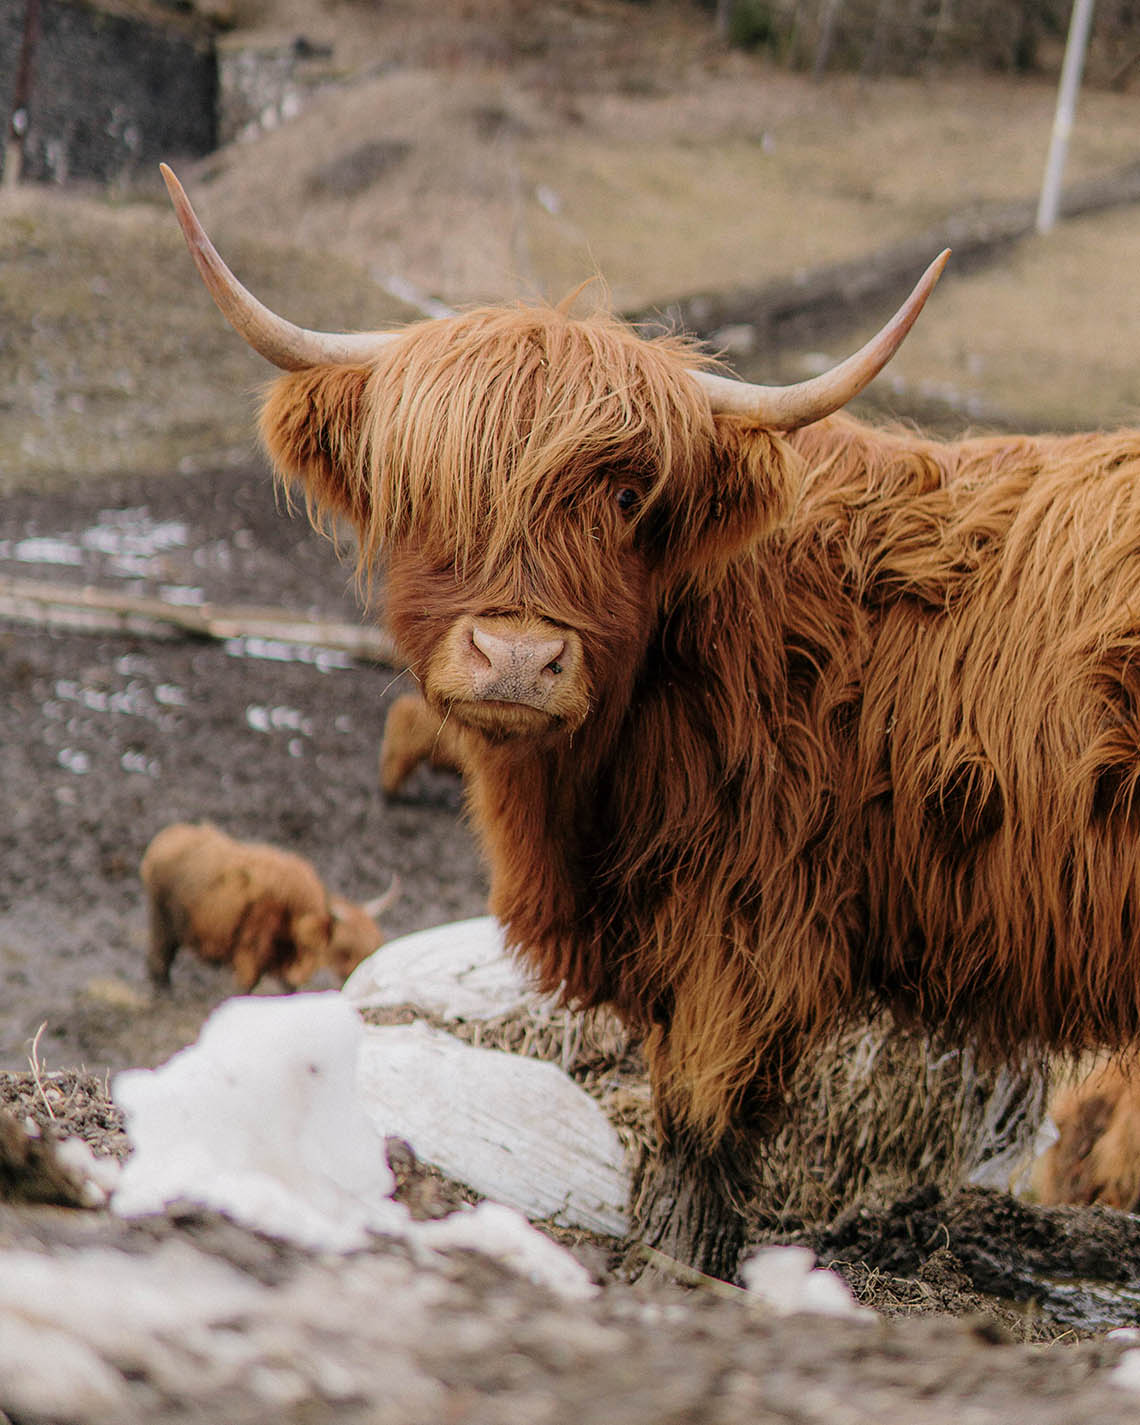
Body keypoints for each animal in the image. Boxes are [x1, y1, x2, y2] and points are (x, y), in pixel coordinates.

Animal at [142, 820, 396, 997]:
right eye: (347, 949)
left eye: (374, 945)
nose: (365, 981)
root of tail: (165, 837)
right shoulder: (250, 955)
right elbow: (247, 986)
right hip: (162, 920)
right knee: (159, 959)